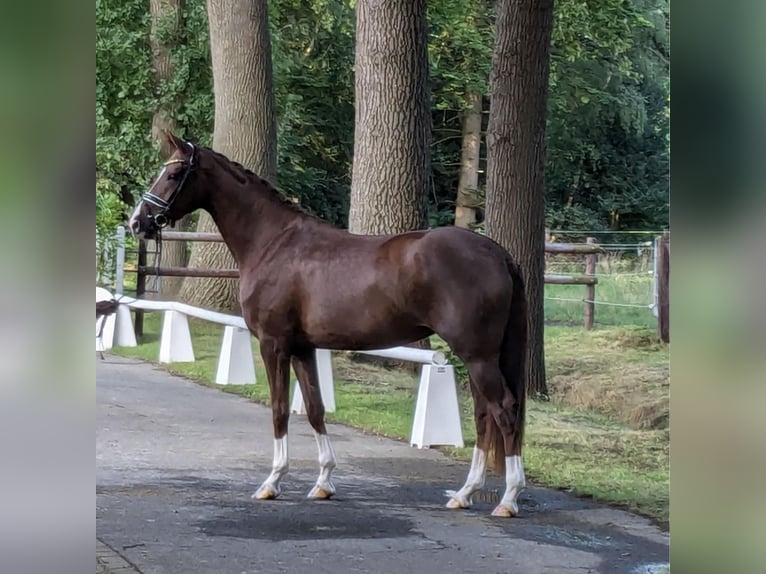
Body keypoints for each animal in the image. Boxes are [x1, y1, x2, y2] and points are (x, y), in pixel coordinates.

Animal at [130, 134, 528, 516]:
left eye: (174, 174)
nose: (138, 221)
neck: (273, 242)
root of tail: (497, 253)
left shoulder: (274, 344)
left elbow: (278, 410)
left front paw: (272, 482)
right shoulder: (303, 348)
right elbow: (315, 409)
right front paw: (323, 482)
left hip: (477, 355)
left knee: (504, 410)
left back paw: (508, 499)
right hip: (478, 356)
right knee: (483, 415)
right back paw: (465, 493)